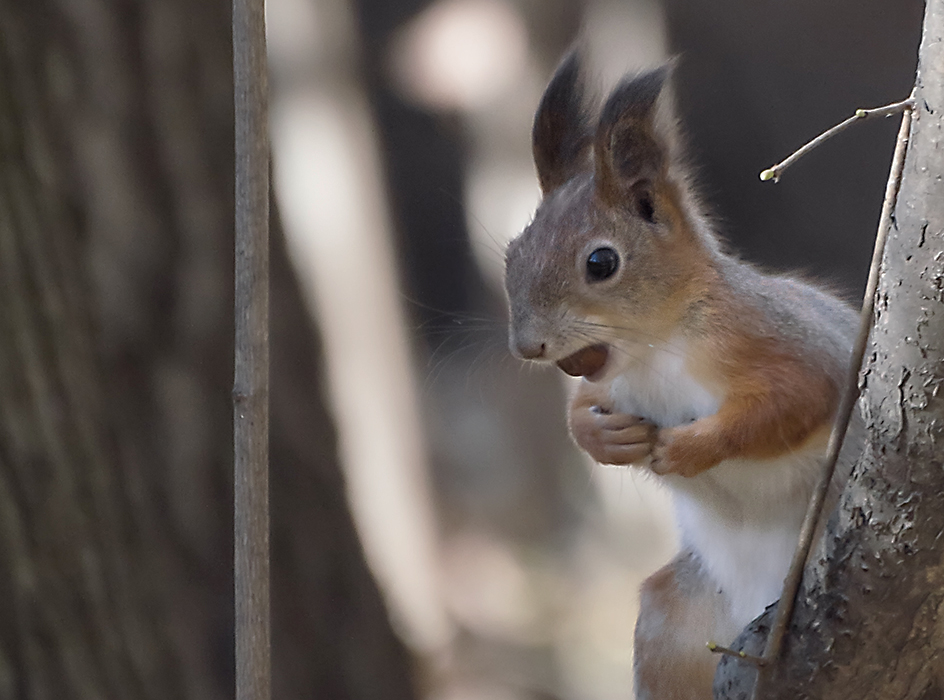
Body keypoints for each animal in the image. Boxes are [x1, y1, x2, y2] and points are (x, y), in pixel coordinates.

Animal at [506, 54, 860, 700]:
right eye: (512, 254)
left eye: (601, 262)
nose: (528, 345)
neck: (653, 349)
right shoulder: (607, 381)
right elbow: (579, 411)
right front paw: (606, 439)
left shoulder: (784, 341)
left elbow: (794, 400)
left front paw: (689, 448)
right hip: (672, 624)